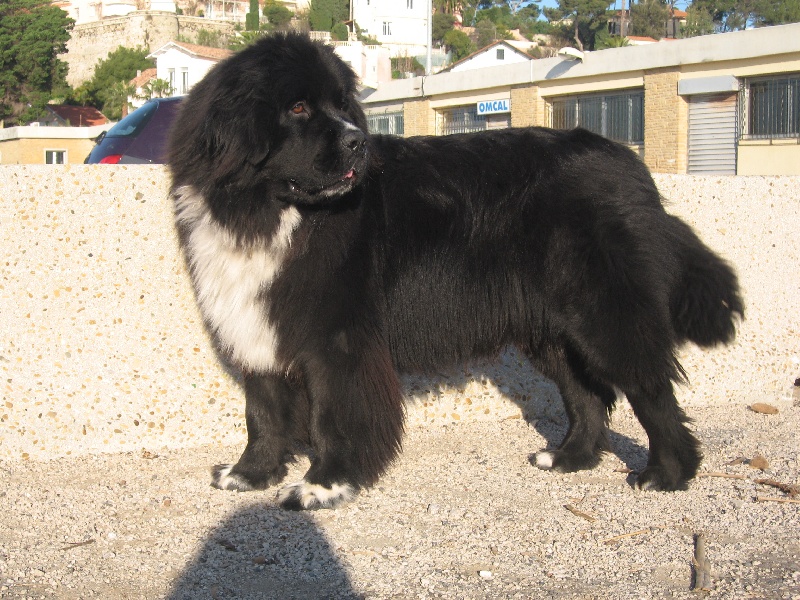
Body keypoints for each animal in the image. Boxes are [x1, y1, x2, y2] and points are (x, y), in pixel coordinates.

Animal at [167, 33, 743, 510]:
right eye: (299, 107)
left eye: (341, 106)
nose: (358, 141)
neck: (267, 211)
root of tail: (631, 166)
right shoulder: (252, 320)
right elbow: (262, 410)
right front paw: (249, 474)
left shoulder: (338, 338)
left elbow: (334, 415)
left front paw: (323, 485)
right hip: (552, 328)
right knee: (587, 394)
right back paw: (569, 457)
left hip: (603, 312)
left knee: (650, 387)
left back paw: (667, 473)